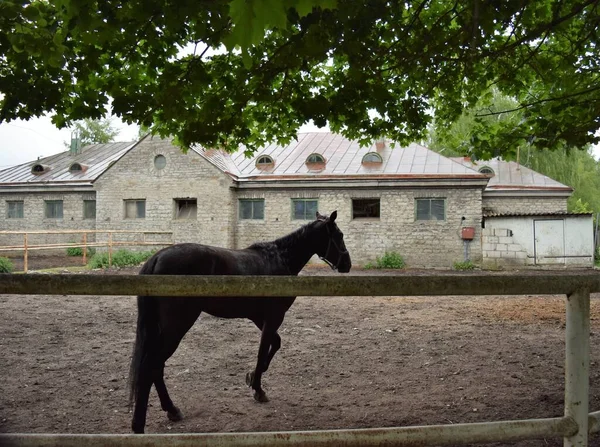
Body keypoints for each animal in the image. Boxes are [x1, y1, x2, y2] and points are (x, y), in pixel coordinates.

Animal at [129, 213, 350, 434]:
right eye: (339, 235)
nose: (347, 264)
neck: (279, 259)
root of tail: (157, 258)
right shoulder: (274, 317)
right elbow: (263, 351)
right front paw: (258, 389)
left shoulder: (261, 319)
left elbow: (275, 344)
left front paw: (252, 376)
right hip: (177, 326)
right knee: (151, 366)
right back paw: (140, 424)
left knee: (156, 367)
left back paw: (171, 410)